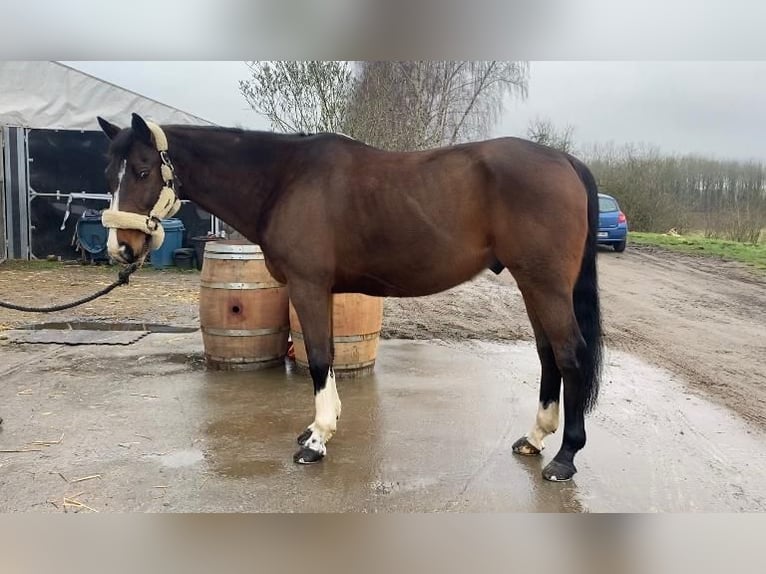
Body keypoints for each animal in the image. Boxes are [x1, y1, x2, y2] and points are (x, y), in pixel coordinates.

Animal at [96, 112, 604, 482]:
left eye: (142, 170)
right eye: (108, 172)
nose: (120, 248)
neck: (284, 179)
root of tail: (564, 161)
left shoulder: (307, 285)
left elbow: (320, 357)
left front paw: (317, 441)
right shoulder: (319, 291)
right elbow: (327, 356)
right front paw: (319, 426)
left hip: (544, 284)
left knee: (569, 354)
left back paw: (565, 458)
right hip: (533, 285)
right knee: (548, 353)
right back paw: (535, 438)